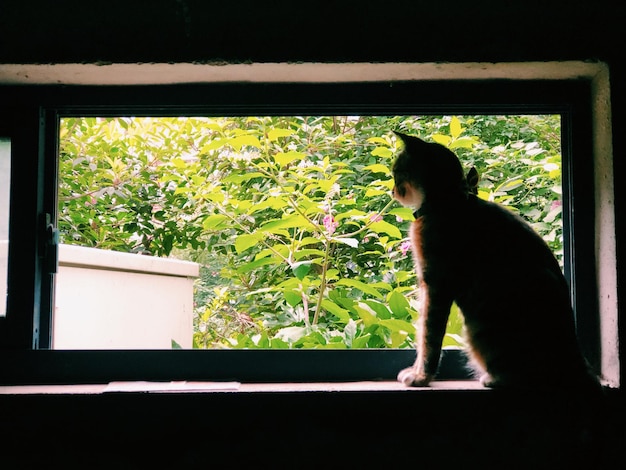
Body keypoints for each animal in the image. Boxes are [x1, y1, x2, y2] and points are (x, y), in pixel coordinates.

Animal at [390, 130, 600, 392]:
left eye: (396, 171)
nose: (392, 191)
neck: (448, 202)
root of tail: (579, 362)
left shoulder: (436, 286)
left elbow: (428, 338)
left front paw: (421, 377)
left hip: (484, 325)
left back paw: (494, 379)